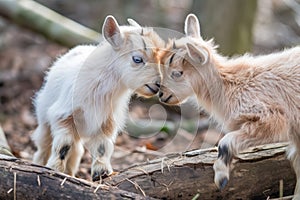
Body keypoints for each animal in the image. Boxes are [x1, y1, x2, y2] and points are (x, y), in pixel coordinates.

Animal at [32, 15, 164, 181]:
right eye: (137, 59)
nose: (158, 84)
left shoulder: (106, 122)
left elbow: (102, 147)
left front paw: (101, 173)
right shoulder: (64, 115)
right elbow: (64, 145)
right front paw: (55, 168)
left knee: (77, 150)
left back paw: (70, 172)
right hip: (44, 116)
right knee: (45, 143)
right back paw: (40, 163)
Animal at [158, 14, 298, 198]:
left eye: (177, 73)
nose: (161, 94)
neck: (231, 84)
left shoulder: (272, 118)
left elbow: (224, 142)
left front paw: (221, 178)